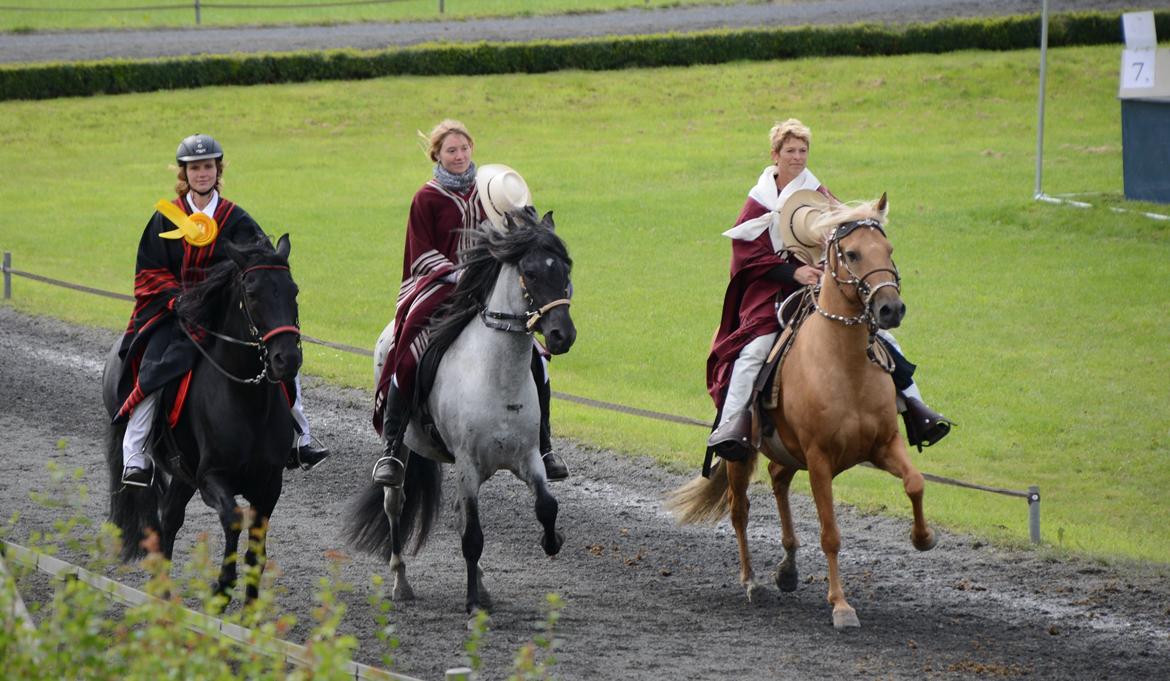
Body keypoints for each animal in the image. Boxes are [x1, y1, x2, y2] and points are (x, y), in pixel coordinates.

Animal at [343, 209, 577, 617]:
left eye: (565, 268)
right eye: (531, 272)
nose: (562, 335)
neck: (497, 376)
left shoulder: (528, 458)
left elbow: (547, 506)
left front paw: (552, 542)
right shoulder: (468, 465)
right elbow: (473, 537)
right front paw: (472, 606)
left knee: (455, 513)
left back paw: (481, 582)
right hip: (404, 445)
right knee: (395, 502)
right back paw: (401, 582)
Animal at [673, 195, 935, 631]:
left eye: (889, 250)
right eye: (852, 253)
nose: (890, 309)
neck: (845, 367)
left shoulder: (883, 444)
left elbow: (915, 483)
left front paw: (923, 538)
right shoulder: (819, 460)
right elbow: (830, 534)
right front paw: (841, 606)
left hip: (787, 452)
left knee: (778, 481)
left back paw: (788, 569)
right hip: (741, 455)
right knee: (740, 511)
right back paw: (752, 581)